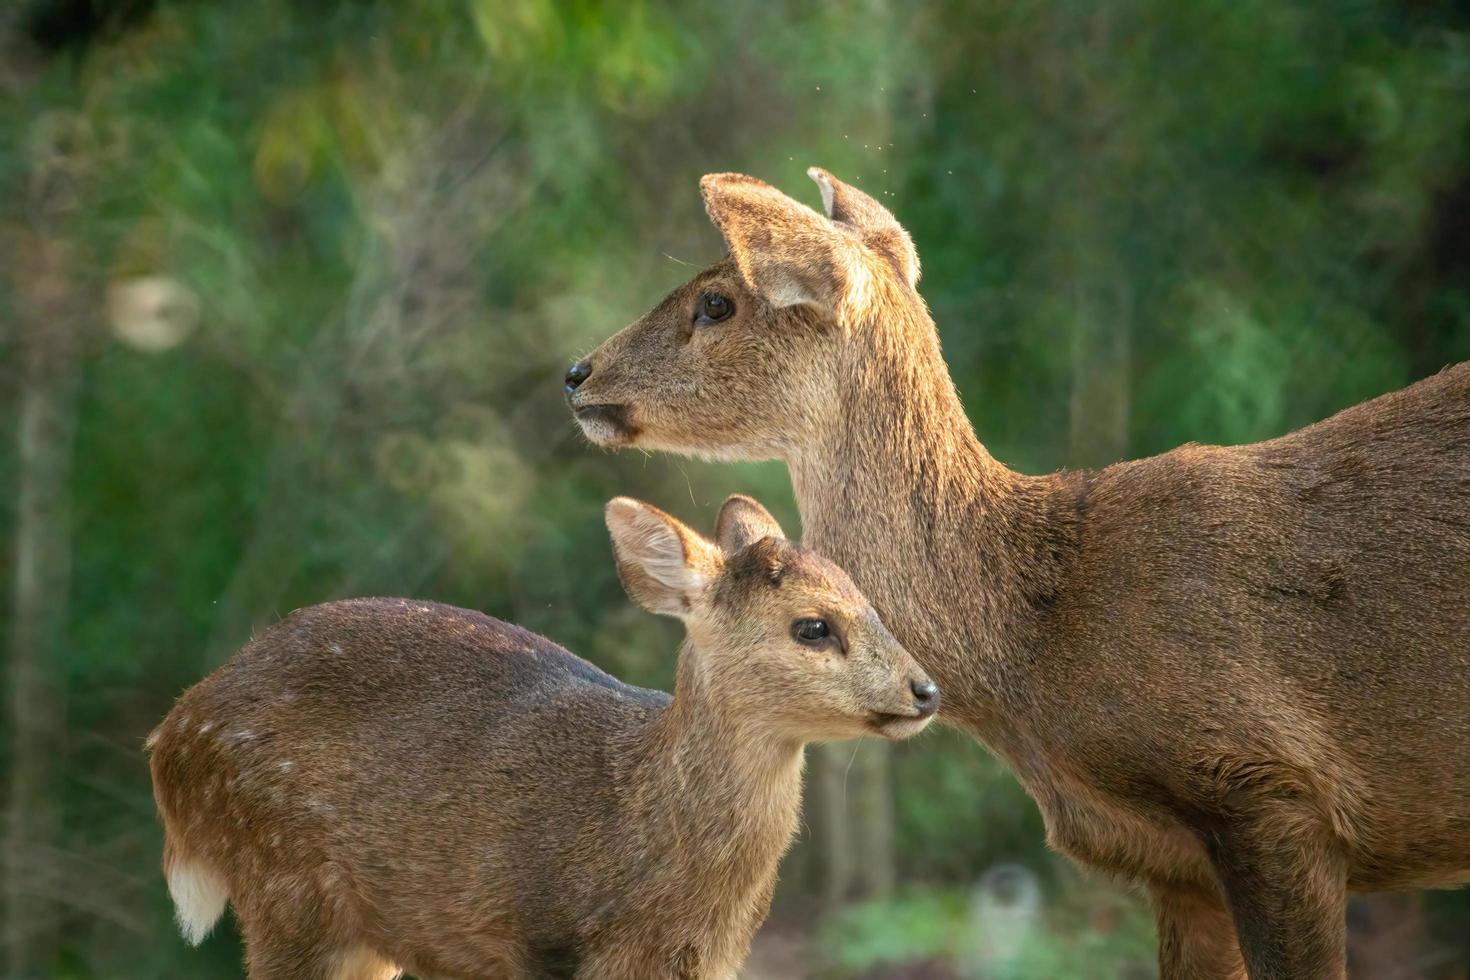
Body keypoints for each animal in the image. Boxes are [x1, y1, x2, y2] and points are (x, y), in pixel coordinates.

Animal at [146, 499, 929, 980]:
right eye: (813, 626)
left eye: (869, 601)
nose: (926, 691)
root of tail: (171, 740)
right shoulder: (538, 936)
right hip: (284, 883)